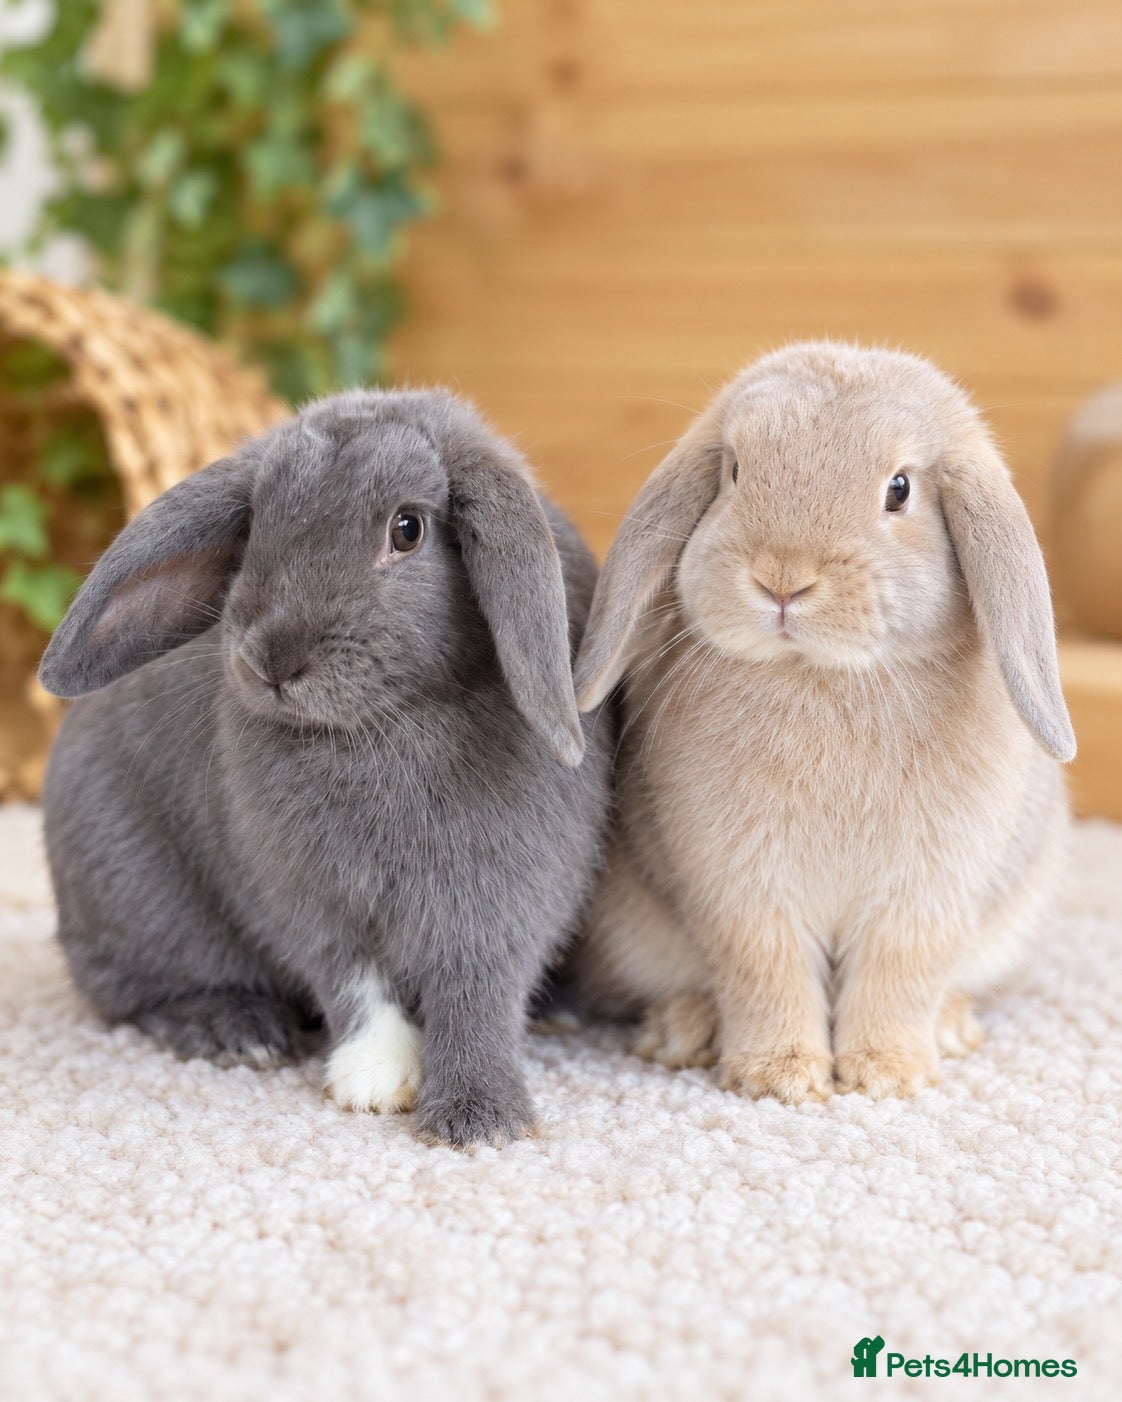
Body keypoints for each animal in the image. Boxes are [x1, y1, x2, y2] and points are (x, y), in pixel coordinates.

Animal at [38, 388, 613, 1147]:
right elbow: (351, 980)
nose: (272, 660)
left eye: (408, 529)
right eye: (257, 527)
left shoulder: (500, 903)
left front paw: (479, 1119)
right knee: (138, 994)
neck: (384, 725)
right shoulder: (309, 900)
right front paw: (378, 1079)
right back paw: (236, 1031)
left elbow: (477, 997)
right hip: (135, 900)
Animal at [571, 342, 1075, 1104]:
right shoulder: (740, 888)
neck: (822, 674)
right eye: (735, 471)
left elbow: (898, 975)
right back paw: (682, 1032)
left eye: (899, 489)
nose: (783, 578)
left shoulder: (925, 895)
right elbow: (766, 971)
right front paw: (780, 1077)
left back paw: (951, 1028)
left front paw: (885, 1074)